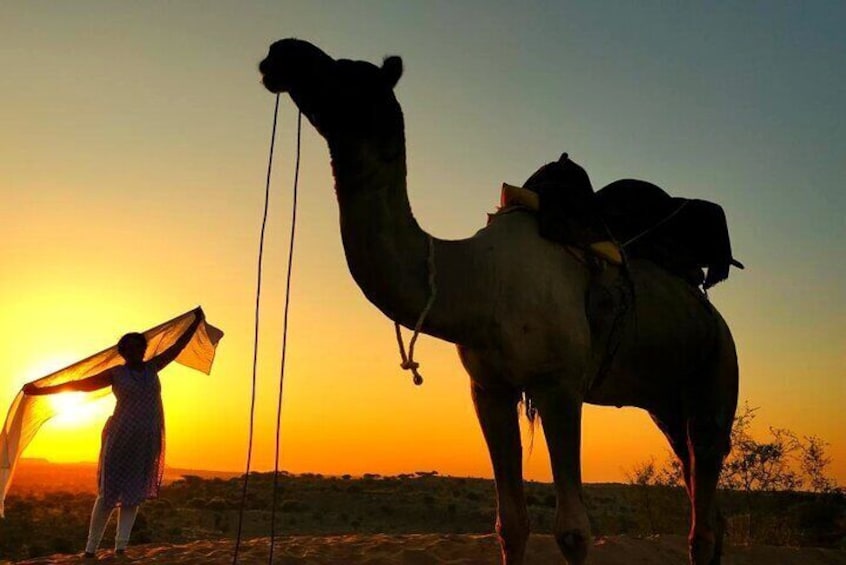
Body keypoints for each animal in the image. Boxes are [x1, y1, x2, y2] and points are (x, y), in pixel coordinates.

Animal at [256, 39, 736, 564]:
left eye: (349, 75)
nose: (281, 52)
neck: (477, 281)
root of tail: (712, 313)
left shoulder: (559, 385)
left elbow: (573, 532)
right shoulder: (488, 389)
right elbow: (511, 524)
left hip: (717, 371)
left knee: (703, 492)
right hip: (665, 400)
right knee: (702, 493)